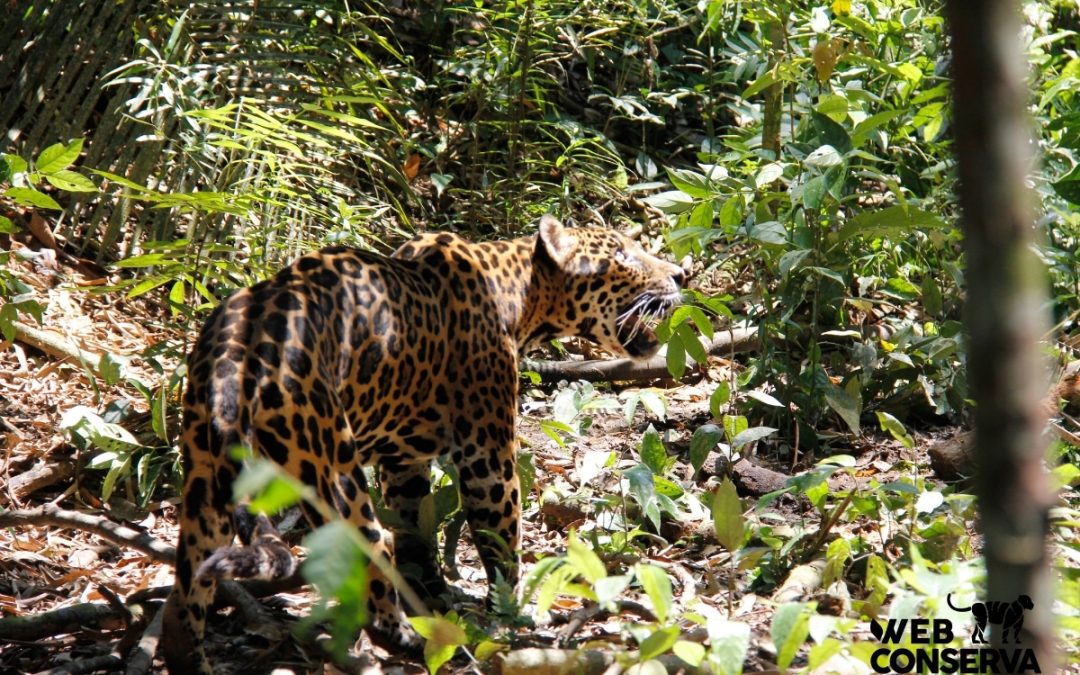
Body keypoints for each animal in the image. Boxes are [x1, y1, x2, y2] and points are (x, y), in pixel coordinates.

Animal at [161, 215, 685, 673]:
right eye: (622, 253)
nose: (682, 273)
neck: (523, 294)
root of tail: (236, 352)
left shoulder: (405, 460)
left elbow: (415, 530)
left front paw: (431, 592)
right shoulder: (487, 454)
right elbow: (501, 538)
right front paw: (512, 613)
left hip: (205, 481)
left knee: (186, 603)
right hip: (332, 475)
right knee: (369, 566)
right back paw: (408, 639)